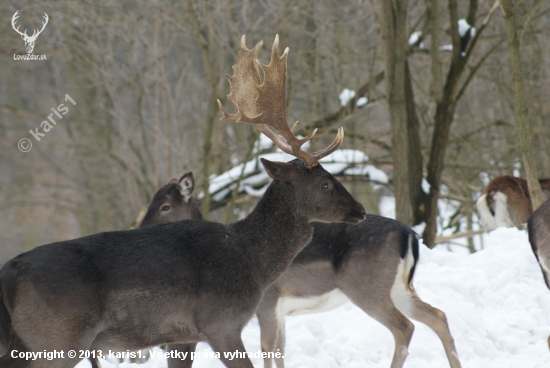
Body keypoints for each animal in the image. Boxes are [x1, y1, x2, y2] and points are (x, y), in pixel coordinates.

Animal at [1, 34, 370, 368]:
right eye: (325, 183)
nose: (362, 210)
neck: (252, 260)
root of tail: (8, 273)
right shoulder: (221, 323)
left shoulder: (181, 337)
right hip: (57, 338)